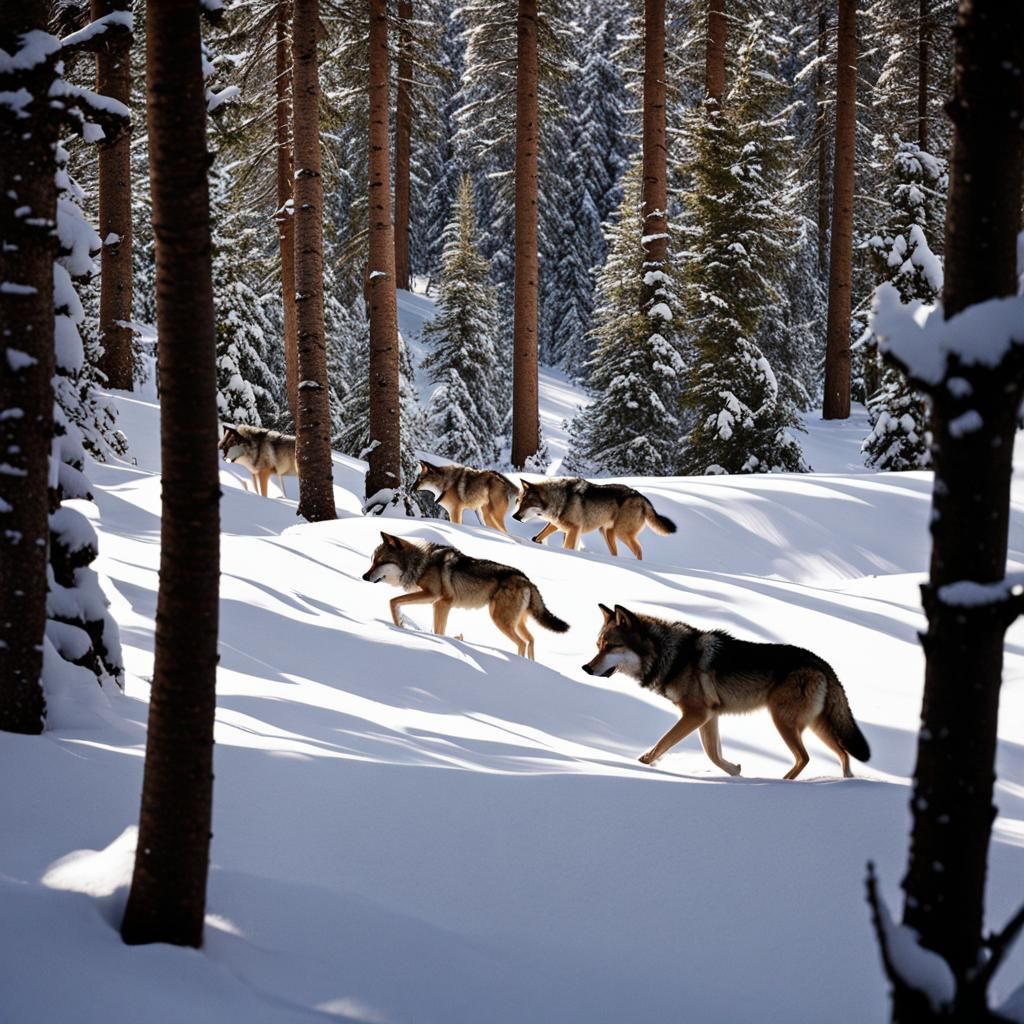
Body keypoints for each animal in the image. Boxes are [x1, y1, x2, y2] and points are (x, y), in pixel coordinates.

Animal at [361, 533, 569, 660]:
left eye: (380, 562)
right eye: (372, 562)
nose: (364, 576)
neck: (421, 563)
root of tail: (527, 580)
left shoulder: (437, 599)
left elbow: (393, 601)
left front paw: (399, 625)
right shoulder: (438, 604)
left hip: (500, 620)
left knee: (522, 642)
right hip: (515, 621)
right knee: (531, 639)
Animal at [512, 478, 677, 559]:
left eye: (528, 504)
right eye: (519, 502)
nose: (514, 516)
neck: (561, 499)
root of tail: (642, 497)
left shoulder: (573, 529)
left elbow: (567, 548)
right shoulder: (559, 525)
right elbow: (537, 537)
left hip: (621, 533)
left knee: (639, 550)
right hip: (607, 533)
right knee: (616, 553)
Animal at [582, 605, 871, 779]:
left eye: (611, 646)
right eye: (597, 646)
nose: (586, 667)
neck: (670, 656)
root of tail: (821, 663)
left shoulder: (696, 714)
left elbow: (662, 744)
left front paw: (640, 765)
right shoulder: (709, 717)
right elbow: (714, 754)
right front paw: (735, 771)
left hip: (784, 722)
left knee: (805, 757)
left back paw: (784, 783)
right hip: (816, 726)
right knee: (843, 754)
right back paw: (847, 782)